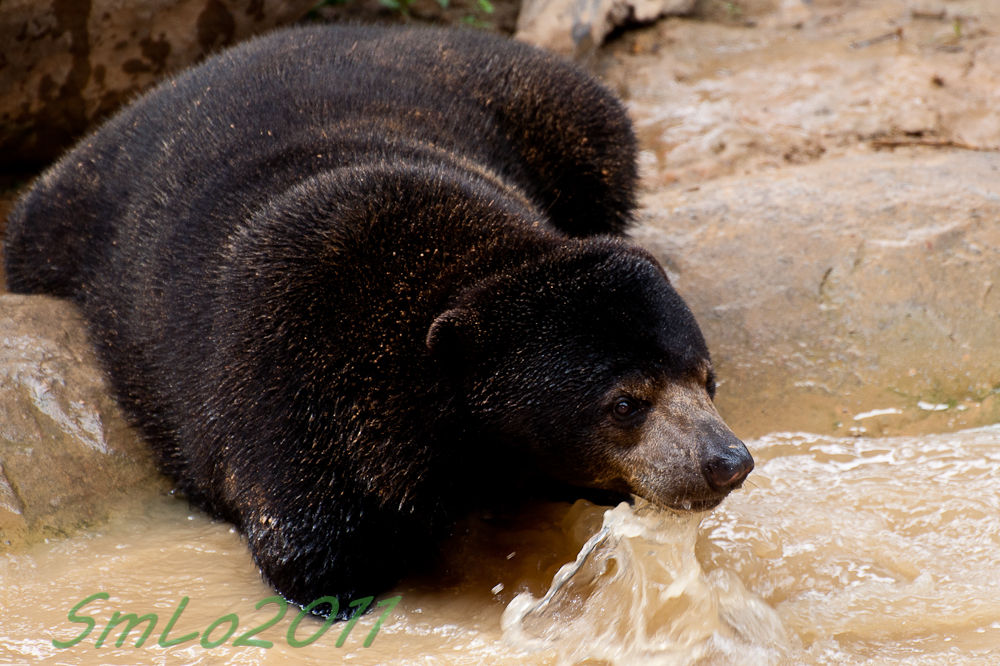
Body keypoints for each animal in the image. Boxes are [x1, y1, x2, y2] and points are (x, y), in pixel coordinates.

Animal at [4, 25, 753, 614]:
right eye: (626, 403)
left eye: (707, 378)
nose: (728, 461)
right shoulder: (283, 379)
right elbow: (312, 551)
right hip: (58, 221)